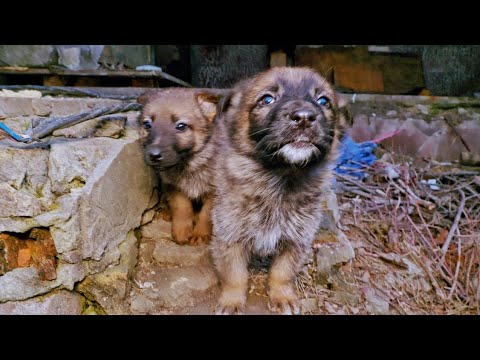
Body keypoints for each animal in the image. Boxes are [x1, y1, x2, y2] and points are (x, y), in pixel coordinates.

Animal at [140, 88, 226, 245]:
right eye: (147, 125)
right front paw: (182, 230)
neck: (189, 164)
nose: (153, 155)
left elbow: (206, 214)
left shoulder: (214, 193)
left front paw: (200, 233)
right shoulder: (174, 188)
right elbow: (182, 208)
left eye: (181, 126)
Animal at [212, 67, 346, 312]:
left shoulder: (297, 240)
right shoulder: (229, 237)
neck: (281, 179)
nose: (304, 117)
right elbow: (235, 275)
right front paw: (232, 301)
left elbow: (282, 272)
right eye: (267, 99)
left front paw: (282, 296)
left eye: (323, 101)